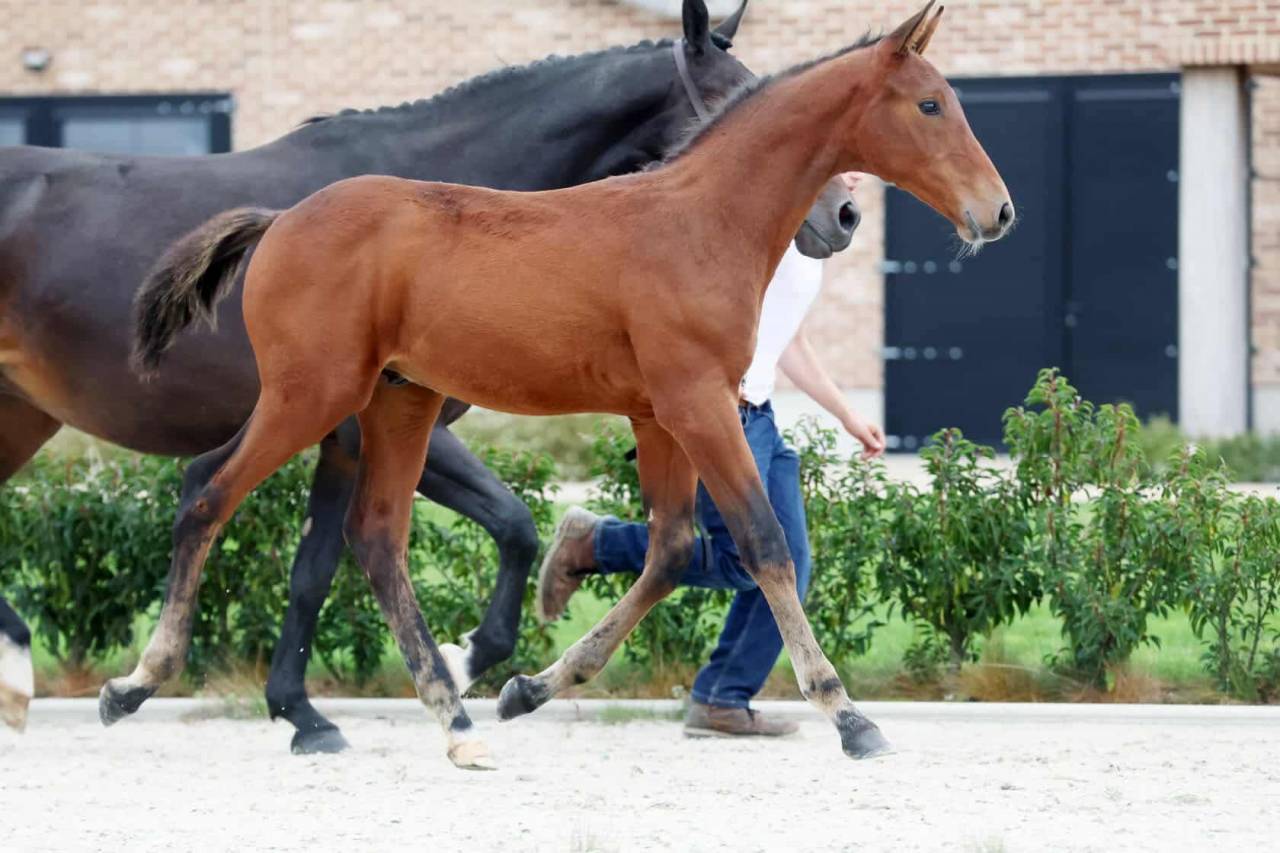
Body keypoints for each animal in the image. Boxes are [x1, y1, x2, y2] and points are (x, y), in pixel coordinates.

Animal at [124, 1, 1009, 769]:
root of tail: (280, 219)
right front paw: (849, 714)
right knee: (209, 492)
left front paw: (530, 686)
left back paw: (456, 720)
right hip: (312, 394)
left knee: (374, 538)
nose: (997, 212)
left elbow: (671, 549)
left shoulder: (660, 414)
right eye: (931, 104)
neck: (700, 220)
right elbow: (763, 543)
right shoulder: (699, 402)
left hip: (399, 400)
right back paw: (137, 681)